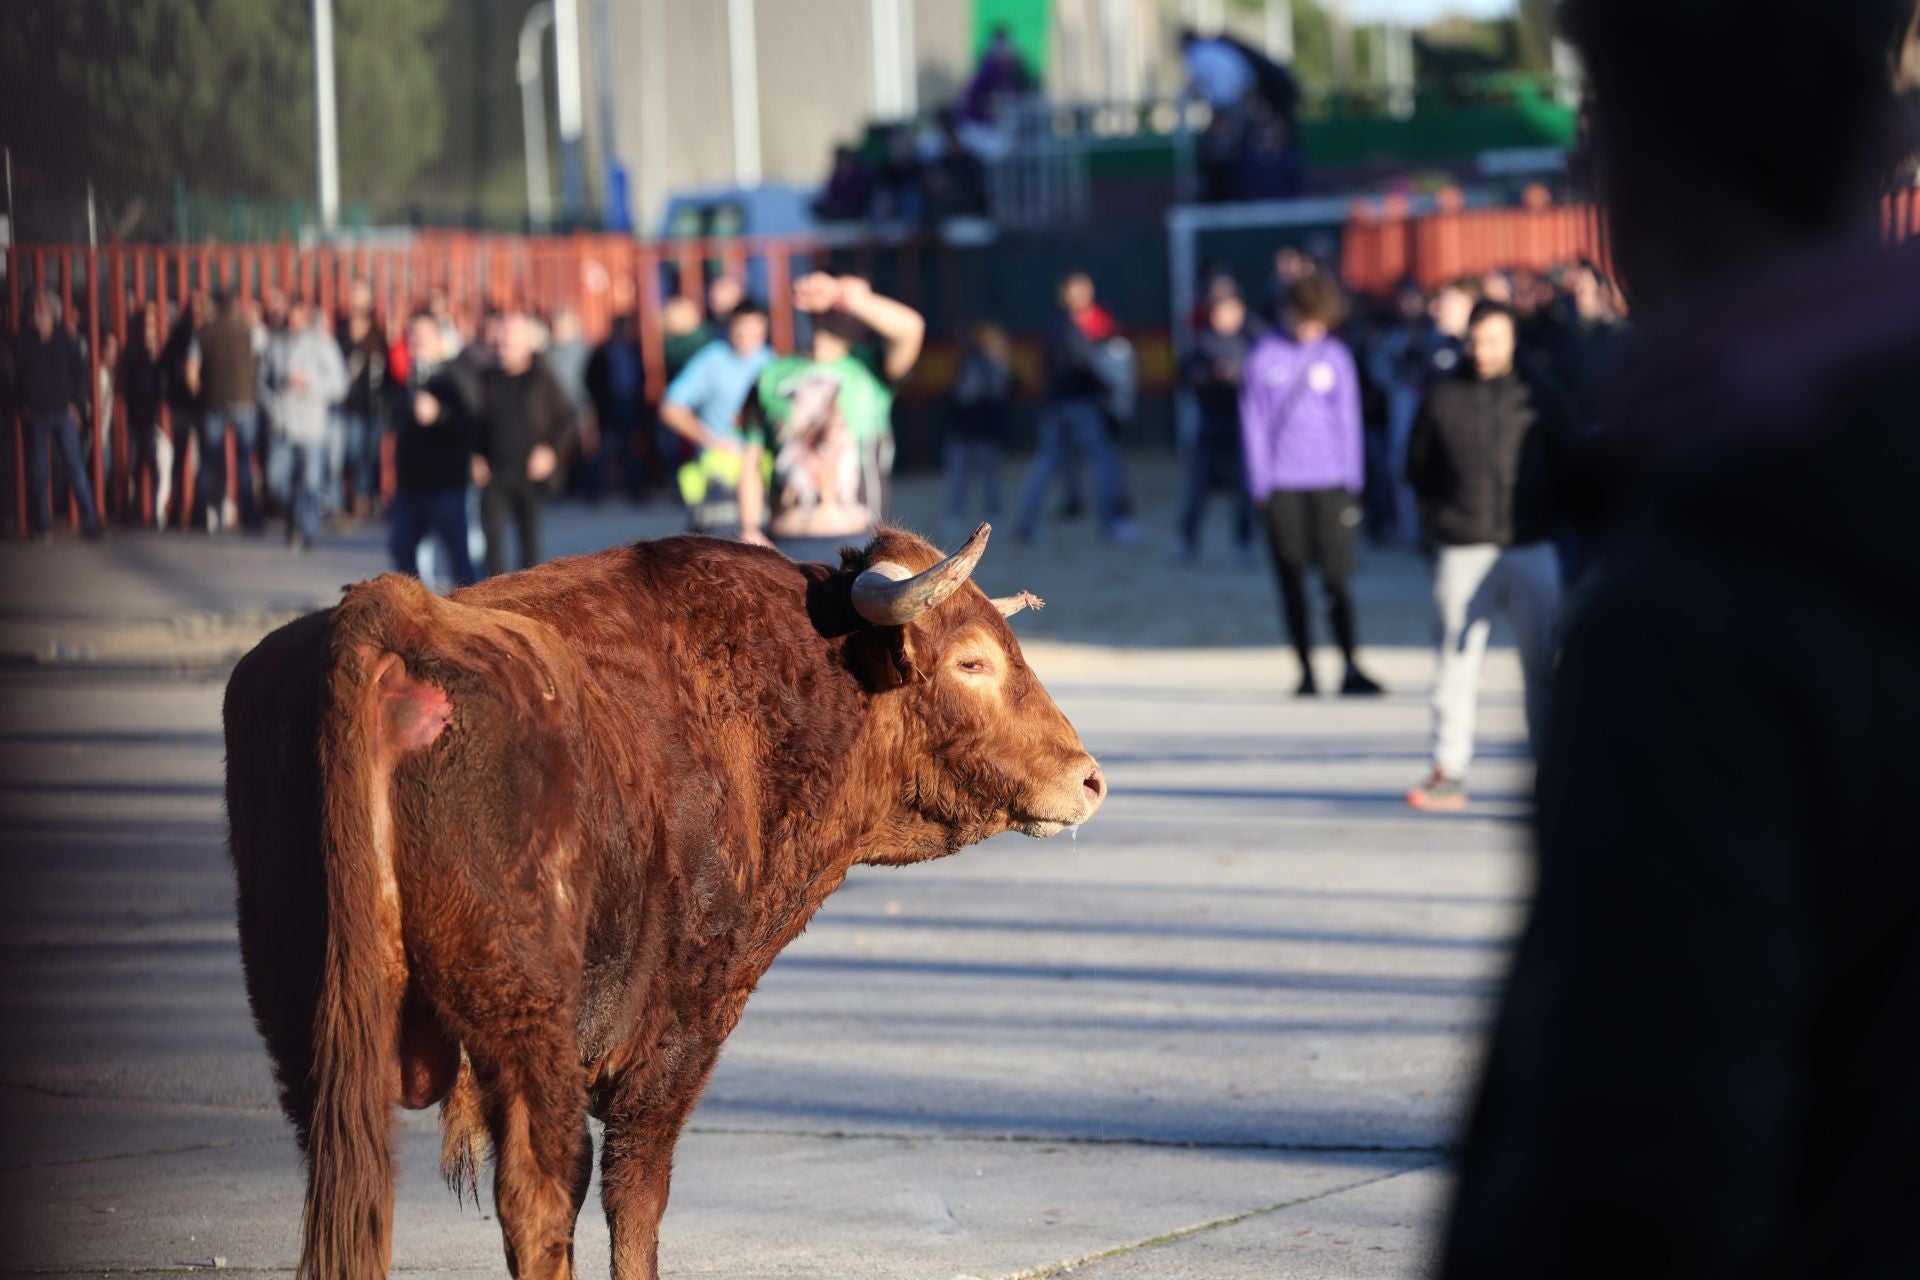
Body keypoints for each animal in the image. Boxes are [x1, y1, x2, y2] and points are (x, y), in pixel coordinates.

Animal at [220, 521, 1113, 1280]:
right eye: (972, 661)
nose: (1088, 778)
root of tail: (393, 617)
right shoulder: (682, 1023)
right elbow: (637, 1194)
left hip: (313, 1024)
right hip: (524, 1016)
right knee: (542, 1193)